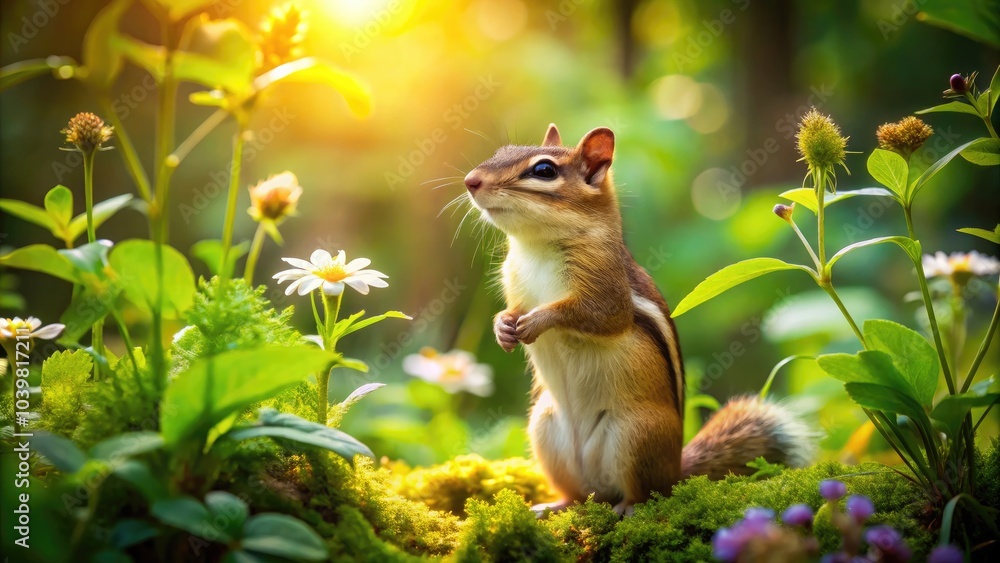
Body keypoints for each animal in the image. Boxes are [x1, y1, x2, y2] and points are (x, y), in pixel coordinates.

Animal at [463, 124, 815, 516]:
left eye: (544, 170)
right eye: (502, 151)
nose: (470, 180)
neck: (535, 247)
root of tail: (676, 470)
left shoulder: (606, 289)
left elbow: (596, 316)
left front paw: (538, 320)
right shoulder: (514, 285)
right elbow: (510, 309)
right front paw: (503, 327)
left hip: (635, 435)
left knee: (645, 493)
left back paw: (627, 507)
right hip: (544, 426)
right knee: (579, 493)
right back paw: (553, 505)